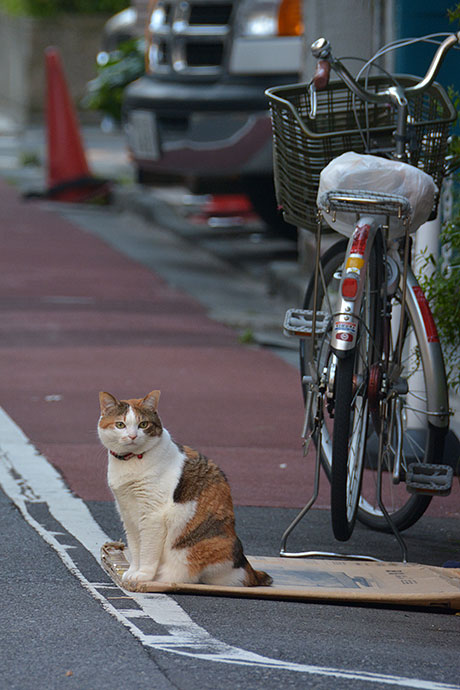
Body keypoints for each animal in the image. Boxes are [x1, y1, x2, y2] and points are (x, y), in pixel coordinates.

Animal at [95, 390, 272, 584]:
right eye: (120, 424)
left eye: (143, 424)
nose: (133, 436)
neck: (132, 460)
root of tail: (248, 568)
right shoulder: (128, 514)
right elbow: (135, 548)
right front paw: (133, 571)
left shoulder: (152, 515)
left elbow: (147, 550)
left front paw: (143, 575)